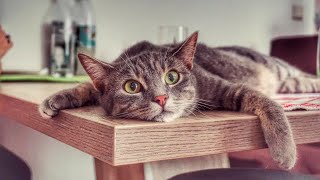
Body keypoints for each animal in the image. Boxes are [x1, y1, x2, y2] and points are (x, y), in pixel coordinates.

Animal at [38, 31, 320, 169]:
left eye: (172, 77)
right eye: (132, 86)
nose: (162, 97)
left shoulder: (231, 89)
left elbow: (270, 105)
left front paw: (284, 152)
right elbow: (86, 86)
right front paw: (56, 98)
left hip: (277, 69)